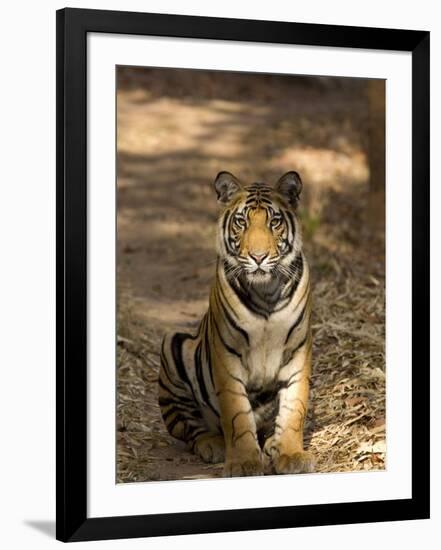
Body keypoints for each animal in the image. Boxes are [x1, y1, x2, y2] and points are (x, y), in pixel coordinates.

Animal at [158, 171, 312, 478]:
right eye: (242, 222)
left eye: (274, 222)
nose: (258, 257)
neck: (266, 292)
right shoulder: (227, 356)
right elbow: (237, 414)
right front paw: (243, 463)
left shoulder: (298, 352)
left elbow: (294, 409)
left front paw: (291, 455)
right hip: (173, 345)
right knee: (189, 427)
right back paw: (213, 445)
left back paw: (272, 444)